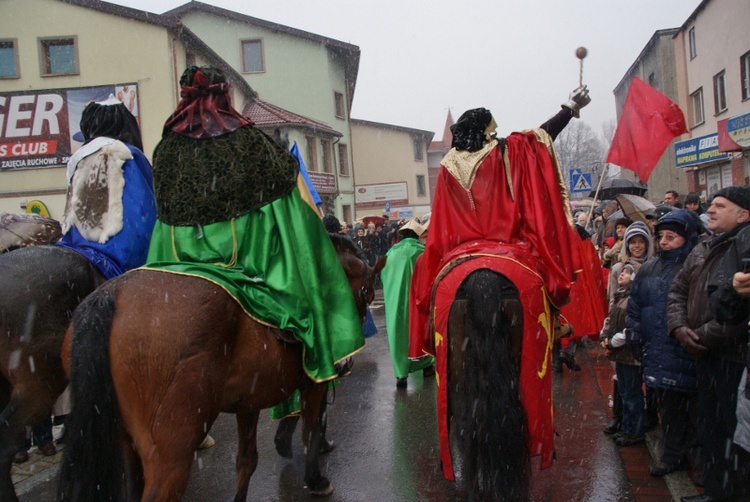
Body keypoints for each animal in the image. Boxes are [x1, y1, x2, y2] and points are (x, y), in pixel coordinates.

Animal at [57, 236, 388, 502]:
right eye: (367, 291)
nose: (345, 364)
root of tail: (111, 293)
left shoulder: (249, 401)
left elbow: (247, 461)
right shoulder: (314, 383)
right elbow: (311, 432)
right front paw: (316, 479)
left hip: (127, 442)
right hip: (172, 449)